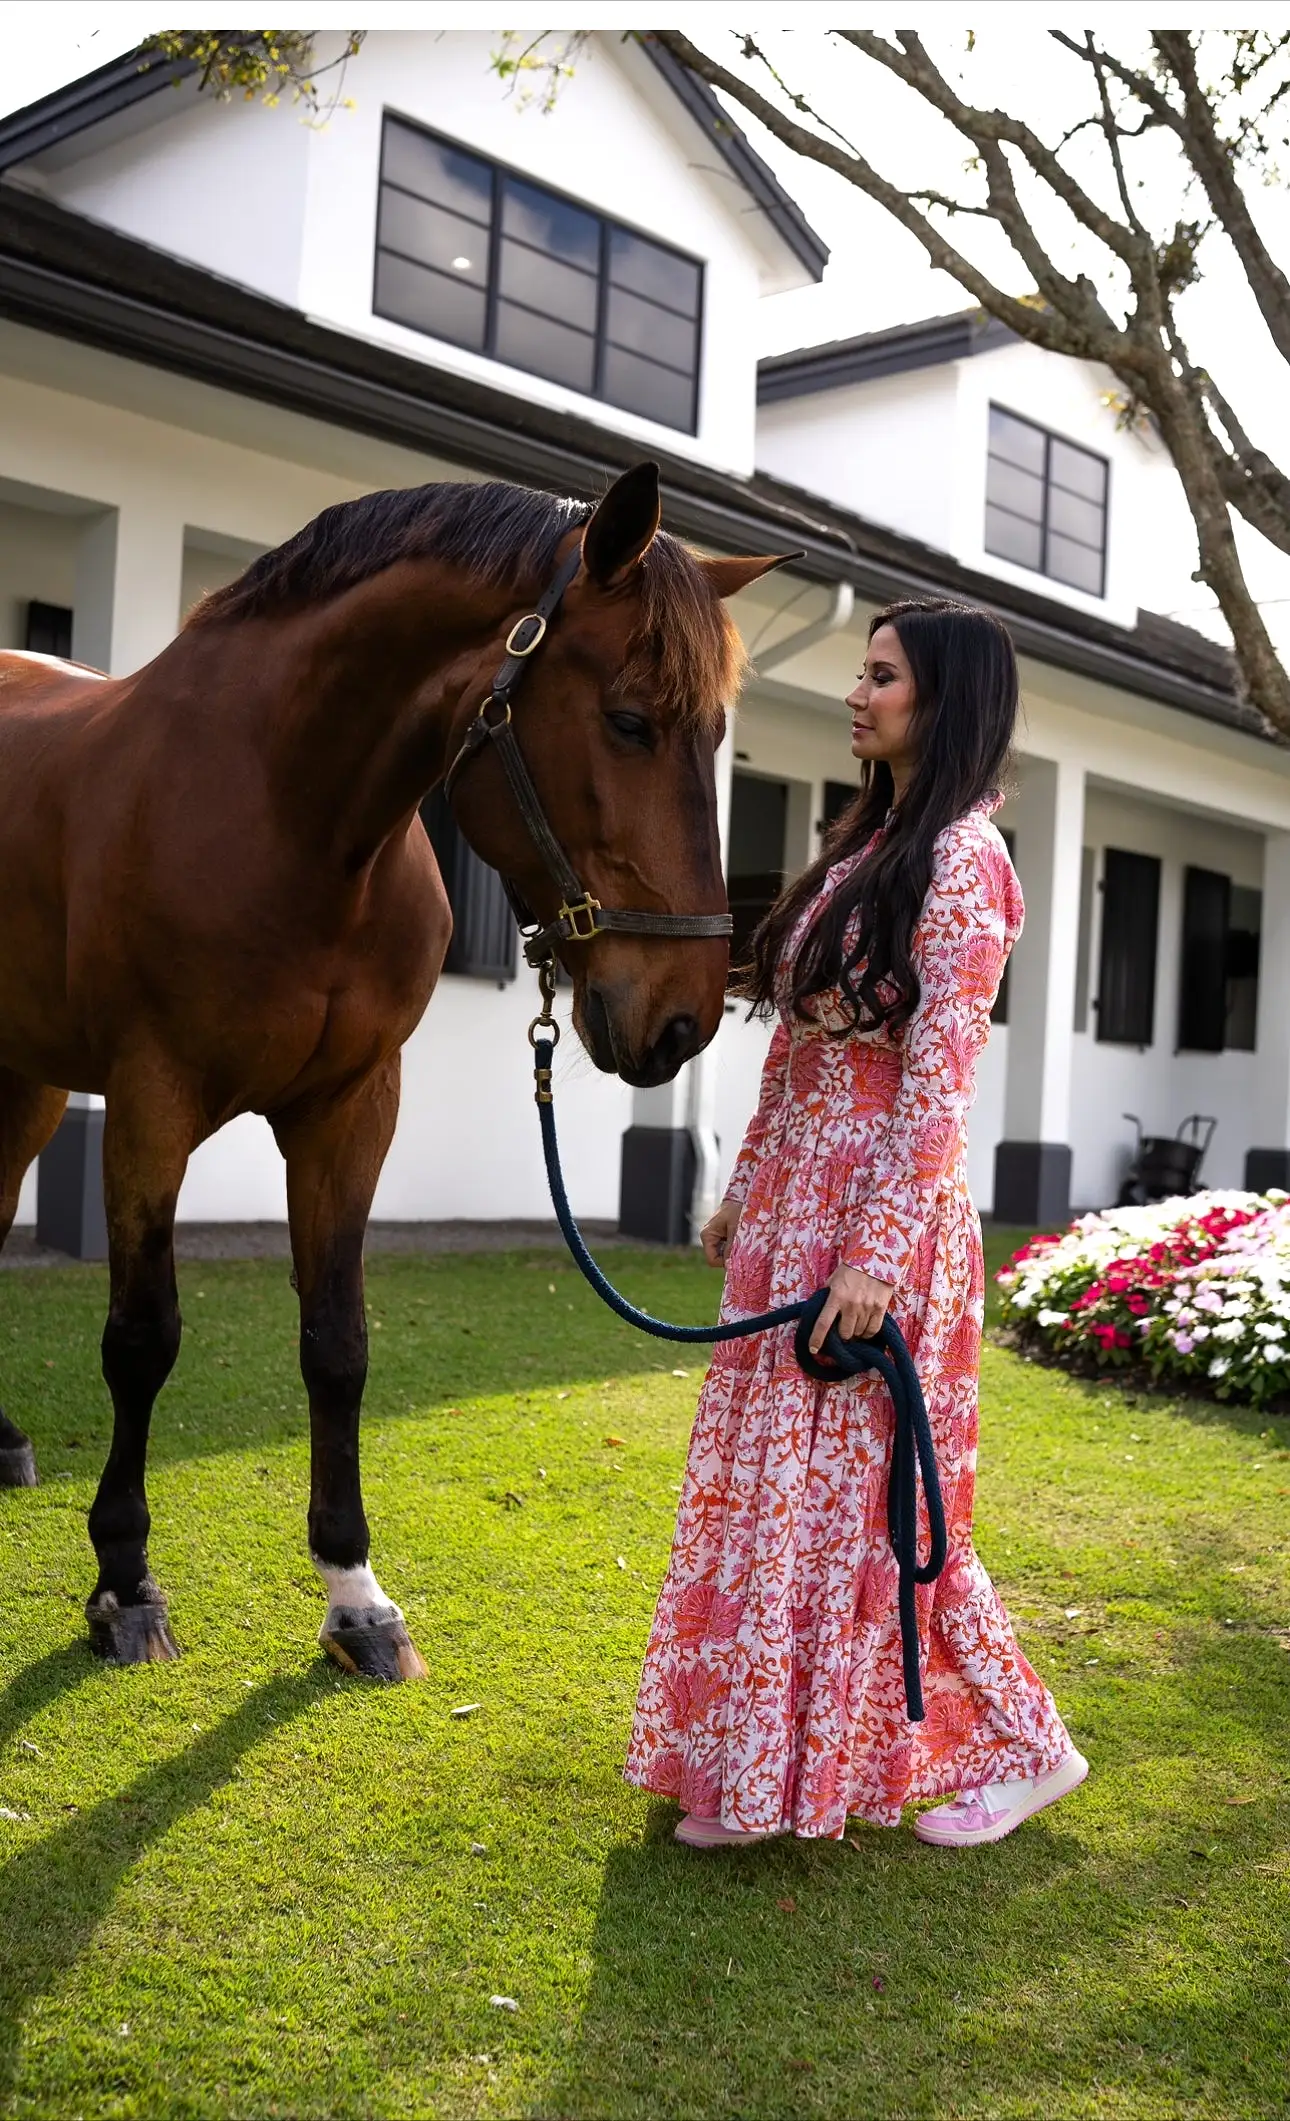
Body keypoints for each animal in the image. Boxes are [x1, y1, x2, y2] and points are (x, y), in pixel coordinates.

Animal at [0, 460, 785, 1671]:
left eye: (715, 741)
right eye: (629, 720)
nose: (684, 1017)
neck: (289, 819)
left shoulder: (353, 1108)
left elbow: (338, 1344)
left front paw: (355, 1596)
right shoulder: (148, 1102)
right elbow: (142, 1339)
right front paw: (125, 1581)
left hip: (29, 1075)